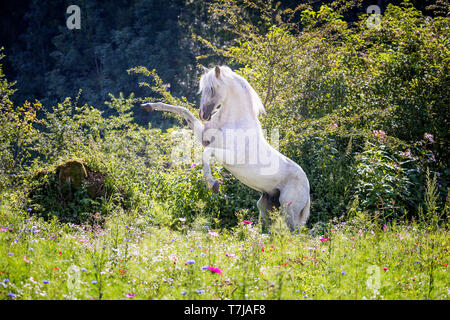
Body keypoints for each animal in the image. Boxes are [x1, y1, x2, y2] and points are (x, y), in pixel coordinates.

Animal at [142, 65, 312, 230]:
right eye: (202, 89)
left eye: (212, 88)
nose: (203, 114)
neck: (233, 123)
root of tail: (307, 188)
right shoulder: (203, 137)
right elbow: (183, 111)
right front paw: (148, 106)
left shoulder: (231, 156)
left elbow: (206, 153)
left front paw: (213, 185)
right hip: (267, 206)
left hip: (288, 211)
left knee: (293, 234)